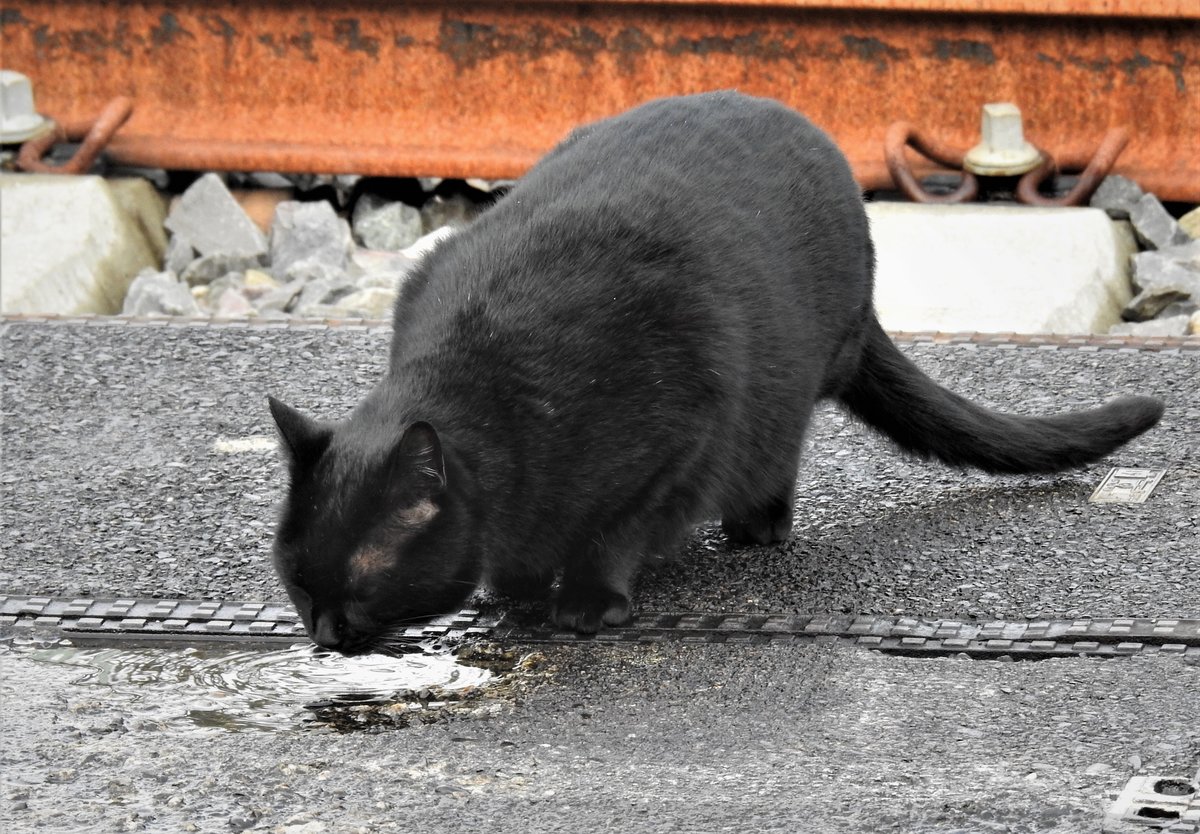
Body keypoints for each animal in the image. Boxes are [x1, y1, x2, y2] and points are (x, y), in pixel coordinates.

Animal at [270, 91, 1161, 652]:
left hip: (788, 387)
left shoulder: (678, 438)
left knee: (776, 458)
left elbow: (614, 530)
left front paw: (583, 600)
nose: (323, 636)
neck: (493, 387)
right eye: (296, 579)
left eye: (361, 578)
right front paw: (516, 588)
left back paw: (756, 527)